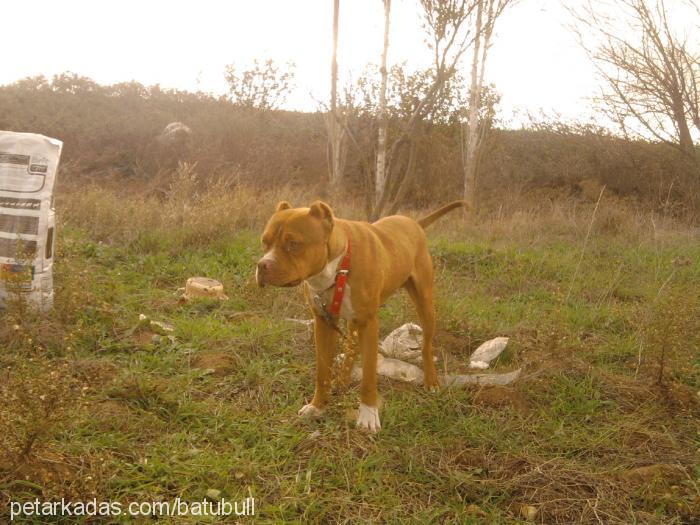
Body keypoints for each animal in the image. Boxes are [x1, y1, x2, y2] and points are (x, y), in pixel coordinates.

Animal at [256, 199, 464, 432]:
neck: (338, 267)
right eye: (265, 242)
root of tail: (414, 223)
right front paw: (317, 407)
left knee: (426, 346)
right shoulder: (323, 322)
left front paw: (368, 415)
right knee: (351, 348)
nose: (262, 265)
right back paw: (343, 380)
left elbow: (368, 376)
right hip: (353, 320)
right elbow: (322, 372)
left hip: (425, 304)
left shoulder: (369, 324)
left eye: (293, 244)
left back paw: (431, 382)